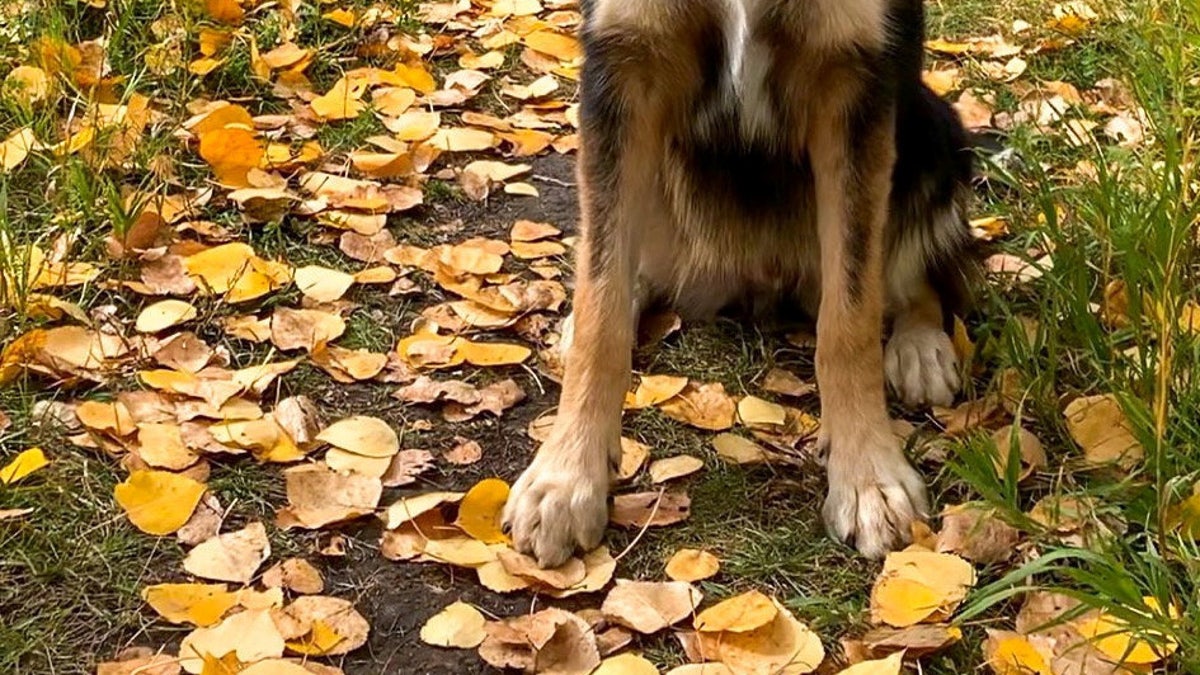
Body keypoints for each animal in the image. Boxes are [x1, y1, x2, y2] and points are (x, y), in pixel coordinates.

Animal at [501, 0, 979, 564]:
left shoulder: (856, 79)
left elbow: (850, 320)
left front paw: (868, 476)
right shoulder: (624, 65)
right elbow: (602, 306)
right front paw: (567, 477)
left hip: (933, 128)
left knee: (917, 273)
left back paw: (920, 346)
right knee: (626, 269)